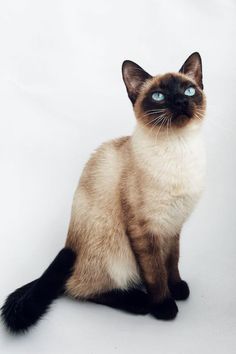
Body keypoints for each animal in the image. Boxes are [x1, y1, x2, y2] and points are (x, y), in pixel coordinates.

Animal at [0, 51, 206, 332]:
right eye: (159, 96)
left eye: (188, 90)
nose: (180, 101)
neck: (178, 147)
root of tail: (70, 246)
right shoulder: (145, 229)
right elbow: (155, 273)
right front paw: (164, 305)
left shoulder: (173, 226)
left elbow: (171, 262)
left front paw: (177, 288)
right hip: (115, 250)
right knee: (77, 288)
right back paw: (140, 302)